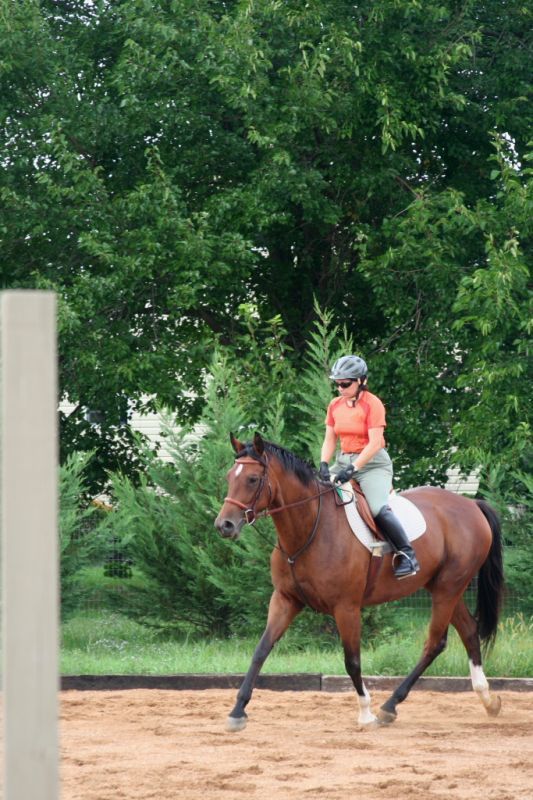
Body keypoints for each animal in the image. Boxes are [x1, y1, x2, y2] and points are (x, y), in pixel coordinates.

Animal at [214, 433, 504, 731]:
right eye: (229, 477)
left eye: (252, 479)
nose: (224, 525)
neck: (310, 527)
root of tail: (471, 505)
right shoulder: (285, 599)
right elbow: (261, 650)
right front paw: (237, 711)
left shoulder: (346, 608)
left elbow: (352, 660)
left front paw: (366, 714)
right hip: (442, 587)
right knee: (468, 630)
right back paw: (488, 700)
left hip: (449, 587)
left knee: (435, 643)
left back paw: (389, 706)